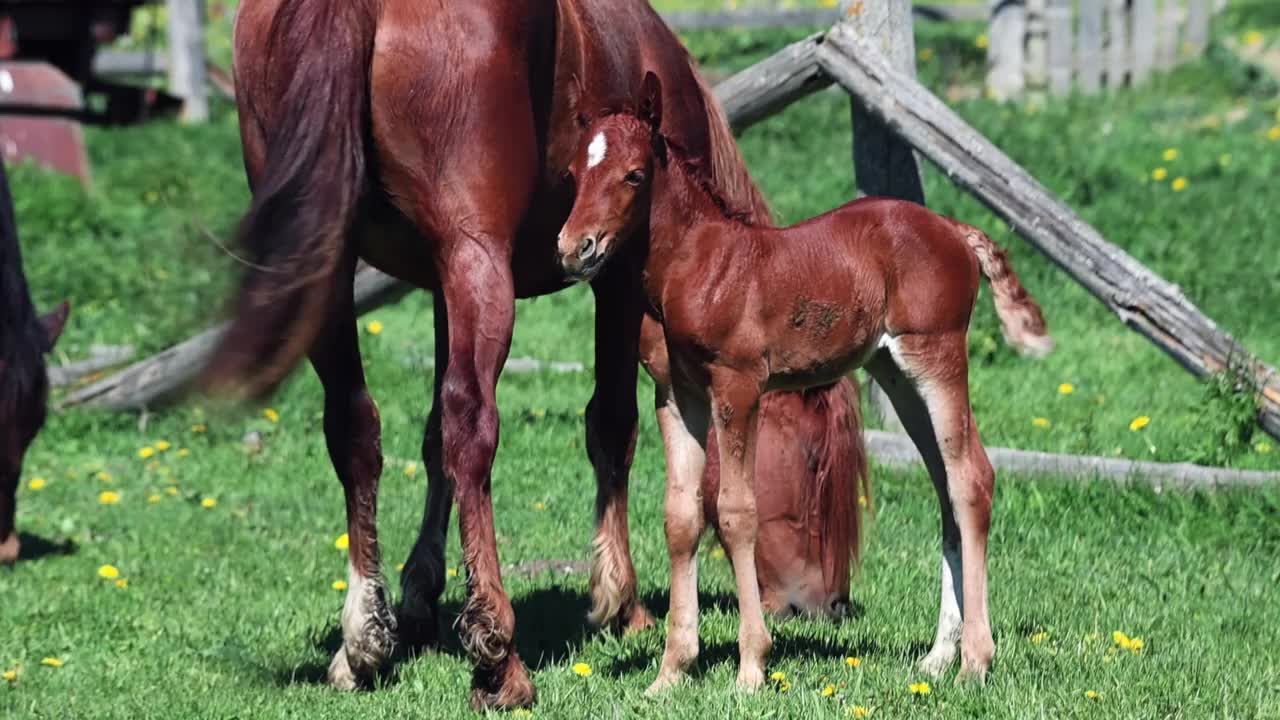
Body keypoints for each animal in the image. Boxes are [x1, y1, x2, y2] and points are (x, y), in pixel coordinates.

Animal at [558, 73, 1049, 691]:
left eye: (634, 175)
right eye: (572, 173)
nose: (574, 249)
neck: (697, 264)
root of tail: (955, 230)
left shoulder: (738, 386)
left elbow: (737, 512)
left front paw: (750, 666)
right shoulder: (675, 393)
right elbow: (682, 517)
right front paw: (671, 672)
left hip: (935, 355)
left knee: (970, 480)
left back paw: (975, 660)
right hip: (896, 374)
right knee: (944, 486)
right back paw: (938, 656)